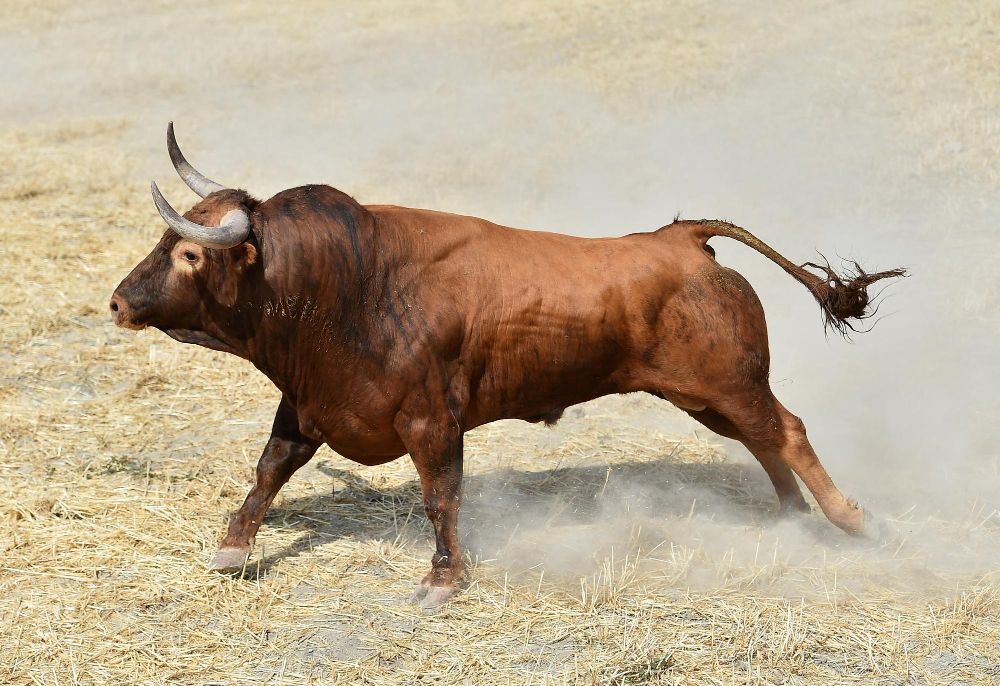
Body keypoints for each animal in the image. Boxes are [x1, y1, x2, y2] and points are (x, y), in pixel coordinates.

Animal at [110, 124, 905, 608]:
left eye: (190, 253)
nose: (118, 301)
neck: (346, 285)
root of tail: (680, 238)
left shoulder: (433, 420)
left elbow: (441, 497)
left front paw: (442, 579)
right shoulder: (307, 405)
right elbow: (270, 470)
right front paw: (231, 550)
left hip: (730, 382)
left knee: (787, 432)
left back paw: (852, 521)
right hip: (707, 397)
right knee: (763, 441)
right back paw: (792, 520)